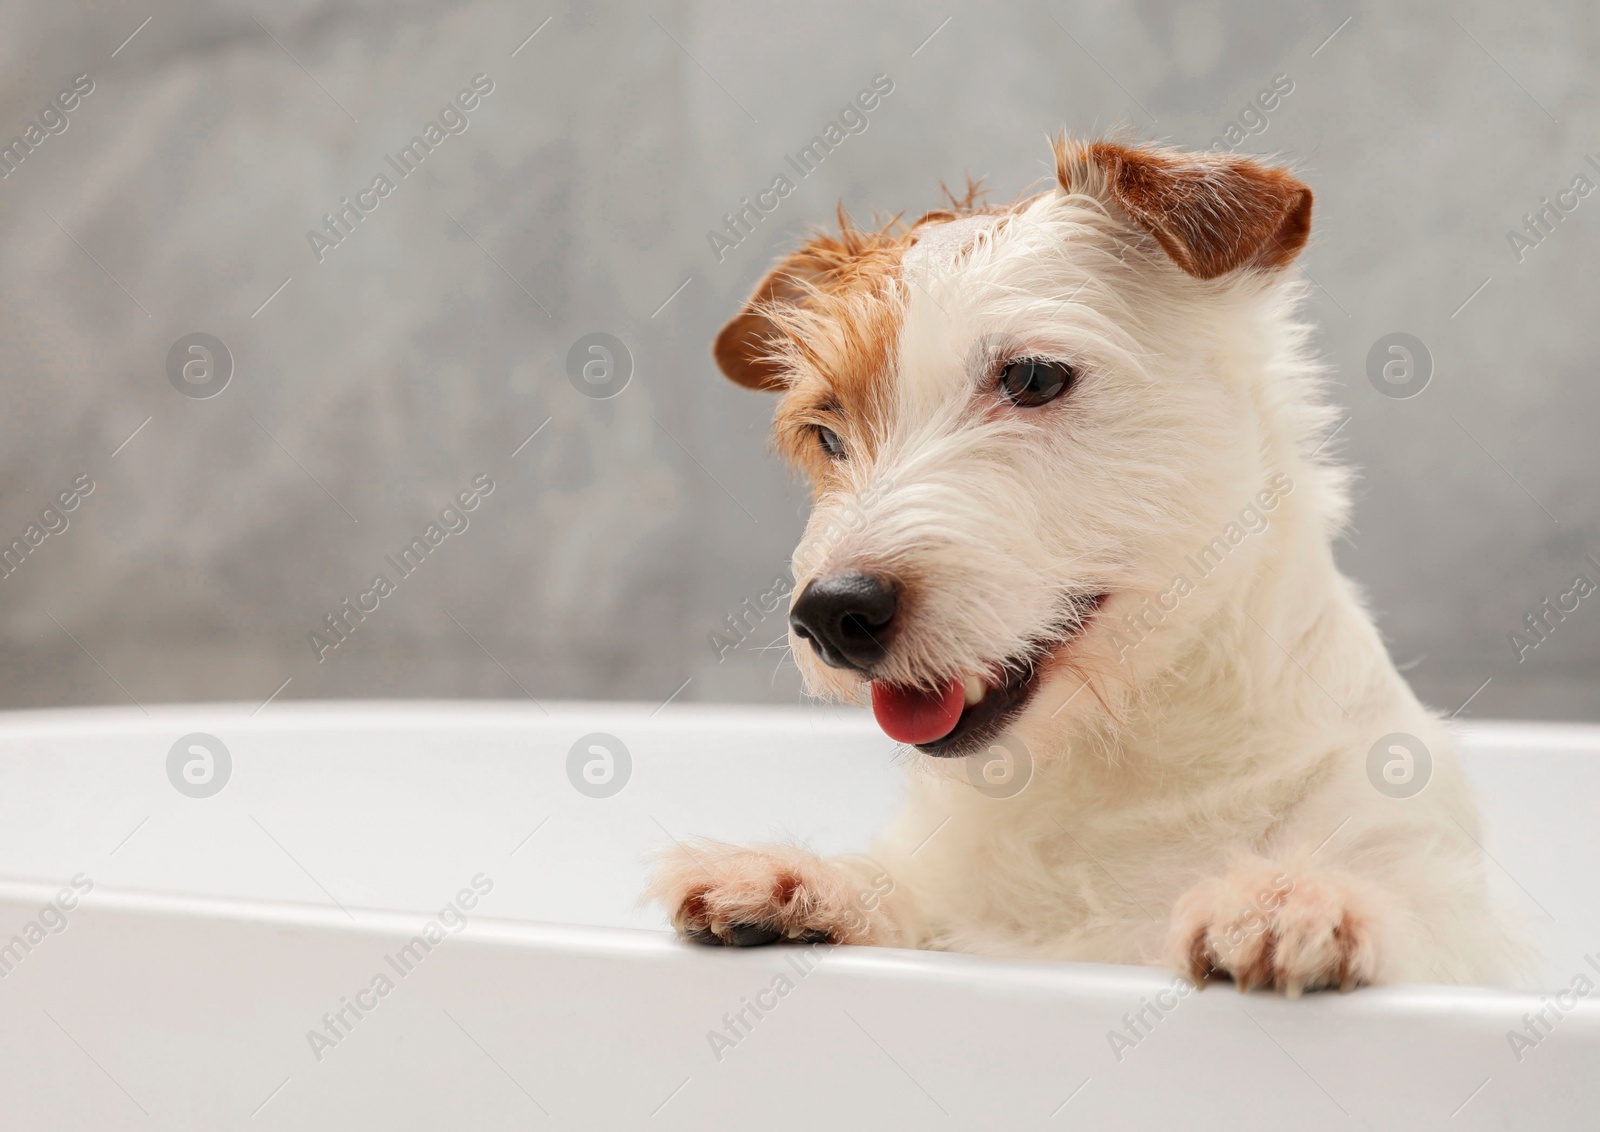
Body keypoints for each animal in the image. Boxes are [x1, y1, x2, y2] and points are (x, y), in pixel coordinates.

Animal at [649, 139, 1523, 991]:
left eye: (1033, 378)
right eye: (826, 433)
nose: (831, 613)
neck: (1120, 766)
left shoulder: (1441, 905)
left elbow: (1411, 927)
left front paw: (1294, 901)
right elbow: (910, 894)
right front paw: (804, 883)